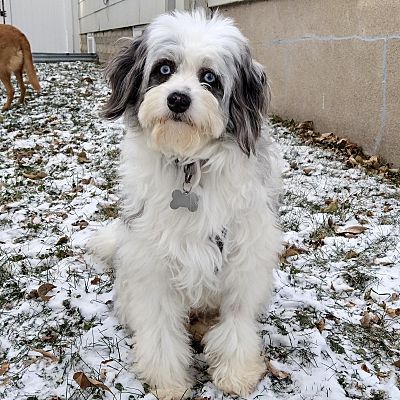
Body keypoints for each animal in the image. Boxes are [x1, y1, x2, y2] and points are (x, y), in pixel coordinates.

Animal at [88, 9, 282, 400]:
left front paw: (236, 371)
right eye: (164, 69)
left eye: (209, 78)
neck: (190, 165)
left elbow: (236, 318)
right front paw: (168, 381)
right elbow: (161, 328)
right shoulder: (152, 263)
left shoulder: (244, 258)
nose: (178, 99)